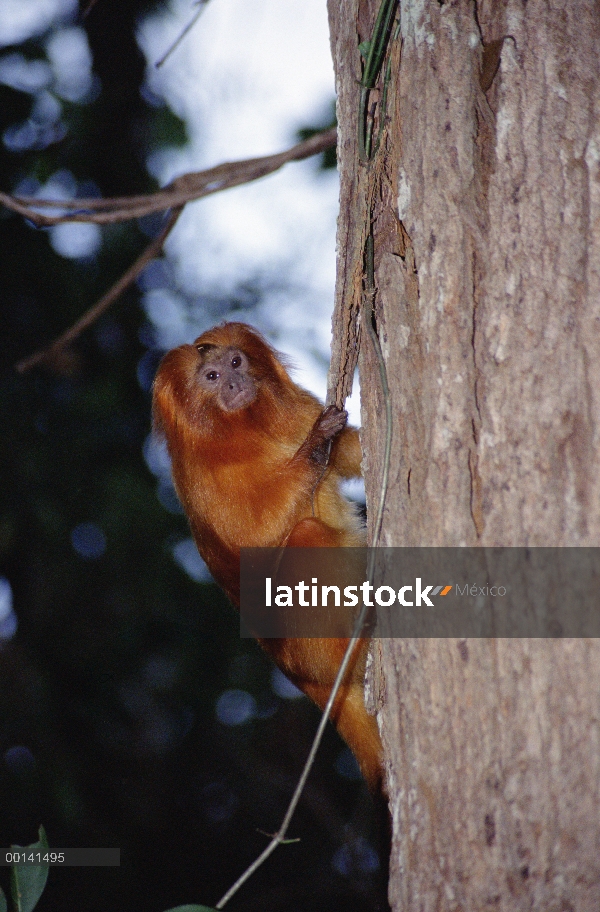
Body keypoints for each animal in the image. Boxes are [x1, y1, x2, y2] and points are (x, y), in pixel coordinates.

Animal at [152, 322, 382, 792]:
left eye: (236, 362)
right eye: (212, 377)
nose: (235, 382)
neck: (246, 427)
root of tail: (302, 676)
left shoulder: (296, 410)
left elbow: (351, 455)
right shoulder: (202, 480)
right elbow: (256, 539)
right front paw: (314, 447)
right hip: (304, 649)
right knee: (306, 537)